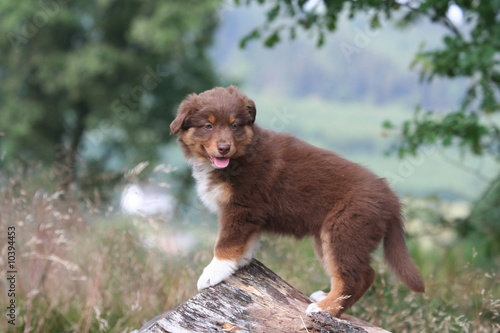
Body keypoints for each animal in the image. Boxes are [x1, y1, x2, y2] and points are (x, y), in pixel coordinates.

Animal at [170, 85, 424, 316]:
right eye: (208, 126)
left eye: (235, 125)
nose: (224, 148)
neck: (239, 157)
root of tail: (390, 197)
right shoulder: (249, 216)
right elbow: (245, 243)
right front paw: (241, 262)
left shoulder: (242, 209)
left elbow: (225, 244)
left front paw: (212, 273)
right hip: (332, 238)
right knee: (363, 274)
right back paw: (329, 302)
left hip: (343, 232)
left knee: (355, 277)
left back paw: (325, 309)